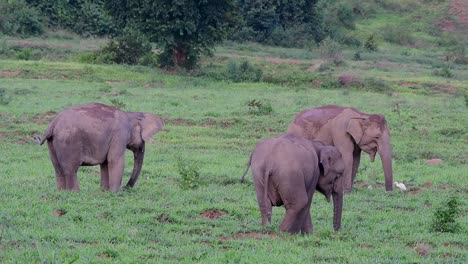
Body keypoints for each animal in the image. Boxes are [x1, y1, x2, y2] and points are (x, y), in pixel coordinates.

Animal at [33, 103, 165, 192]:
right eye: (142, 141)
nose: (125, 188)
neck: (131, 114)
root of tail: (52, 124)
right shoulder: (120, 134)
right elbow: (114, 160)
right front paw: (115, 193)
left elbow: (105, 163)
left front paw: (104, 191)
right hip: (69, 141)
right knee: (71, 169)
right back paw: (75, 193)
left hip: (52, 143)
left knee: (58, 169)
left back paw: (62, 192)